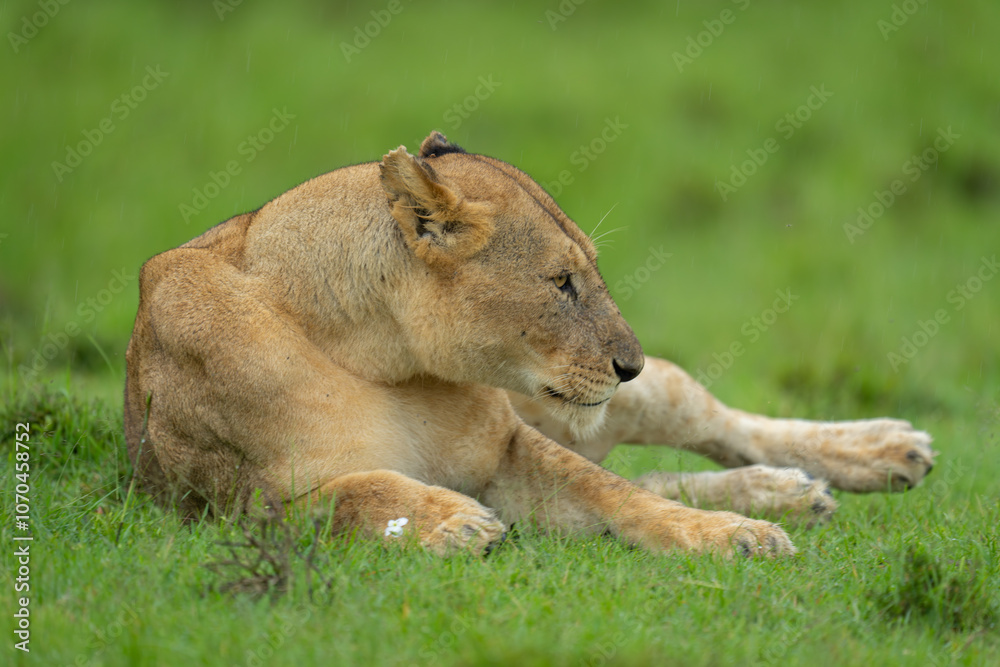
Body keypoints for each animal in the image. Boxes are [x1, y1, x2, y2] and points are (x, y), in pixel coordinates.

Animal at [124, 131, 935, 557]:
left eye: (590, 273)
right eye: (562, 282)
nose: (629, 364)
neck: (382, 361)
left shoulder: (508, 449)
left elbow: (613, 493)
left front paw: (733, 535)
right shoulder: (239, 503)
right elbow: (358, 492)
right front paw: (450, 521)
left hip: (605, 407)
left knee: (712, 426)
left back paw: (880, 453)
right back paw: (792, 492)